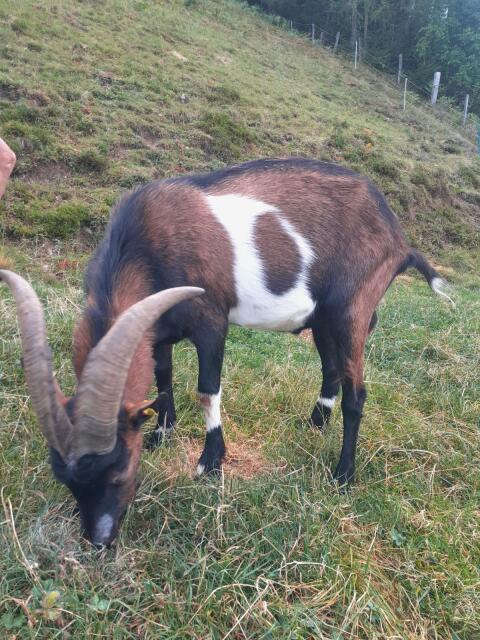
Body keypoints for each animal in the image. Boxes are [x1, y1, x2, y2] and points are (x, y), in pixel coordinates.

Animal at [1, 158, 449, 547]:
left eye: (118, 470)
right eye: (66, 480)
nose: (99, 540)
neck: (145, 245)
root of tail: (398, 238)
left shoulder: (210, 322)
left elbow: (206, 389)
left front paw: (210, 461)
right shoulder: (159, 330)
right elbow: (162, 377)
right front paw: (162, 433)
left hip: (352, 309)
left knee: (357, 393)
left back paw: (343, 474)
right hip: (322, 319)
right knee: (331, 369)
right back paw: (315, 422)